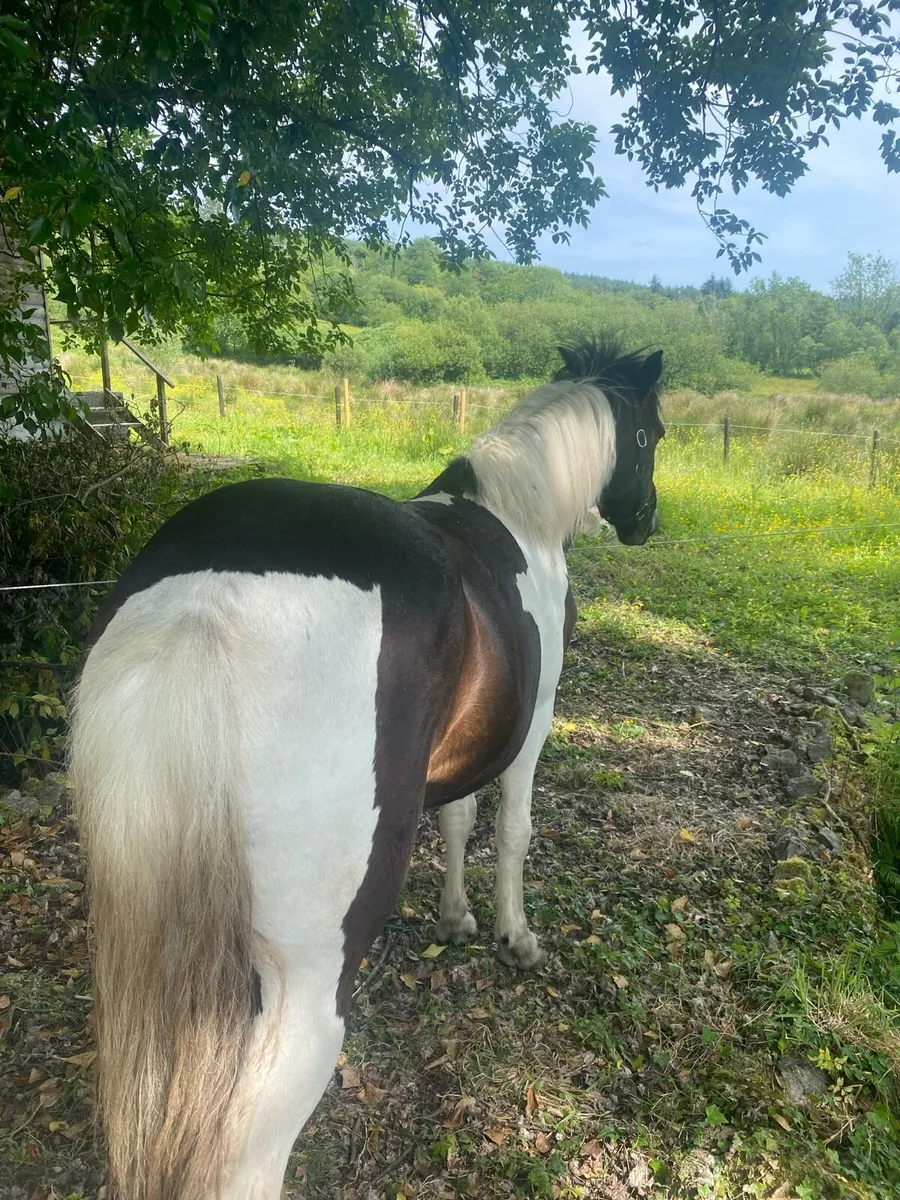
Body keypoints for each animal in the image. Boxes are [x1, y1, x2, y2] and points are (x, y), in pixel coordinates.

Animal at [68, 338, 664, 1200]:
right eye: (652, 435)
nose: (648, 520)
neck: (519, 514)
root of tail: (209, 602)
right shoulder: (536, 723)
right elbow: (513, 830)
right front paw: (514, 936)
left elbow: (459, 818)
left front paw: (454, 918)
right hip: (306, 990)